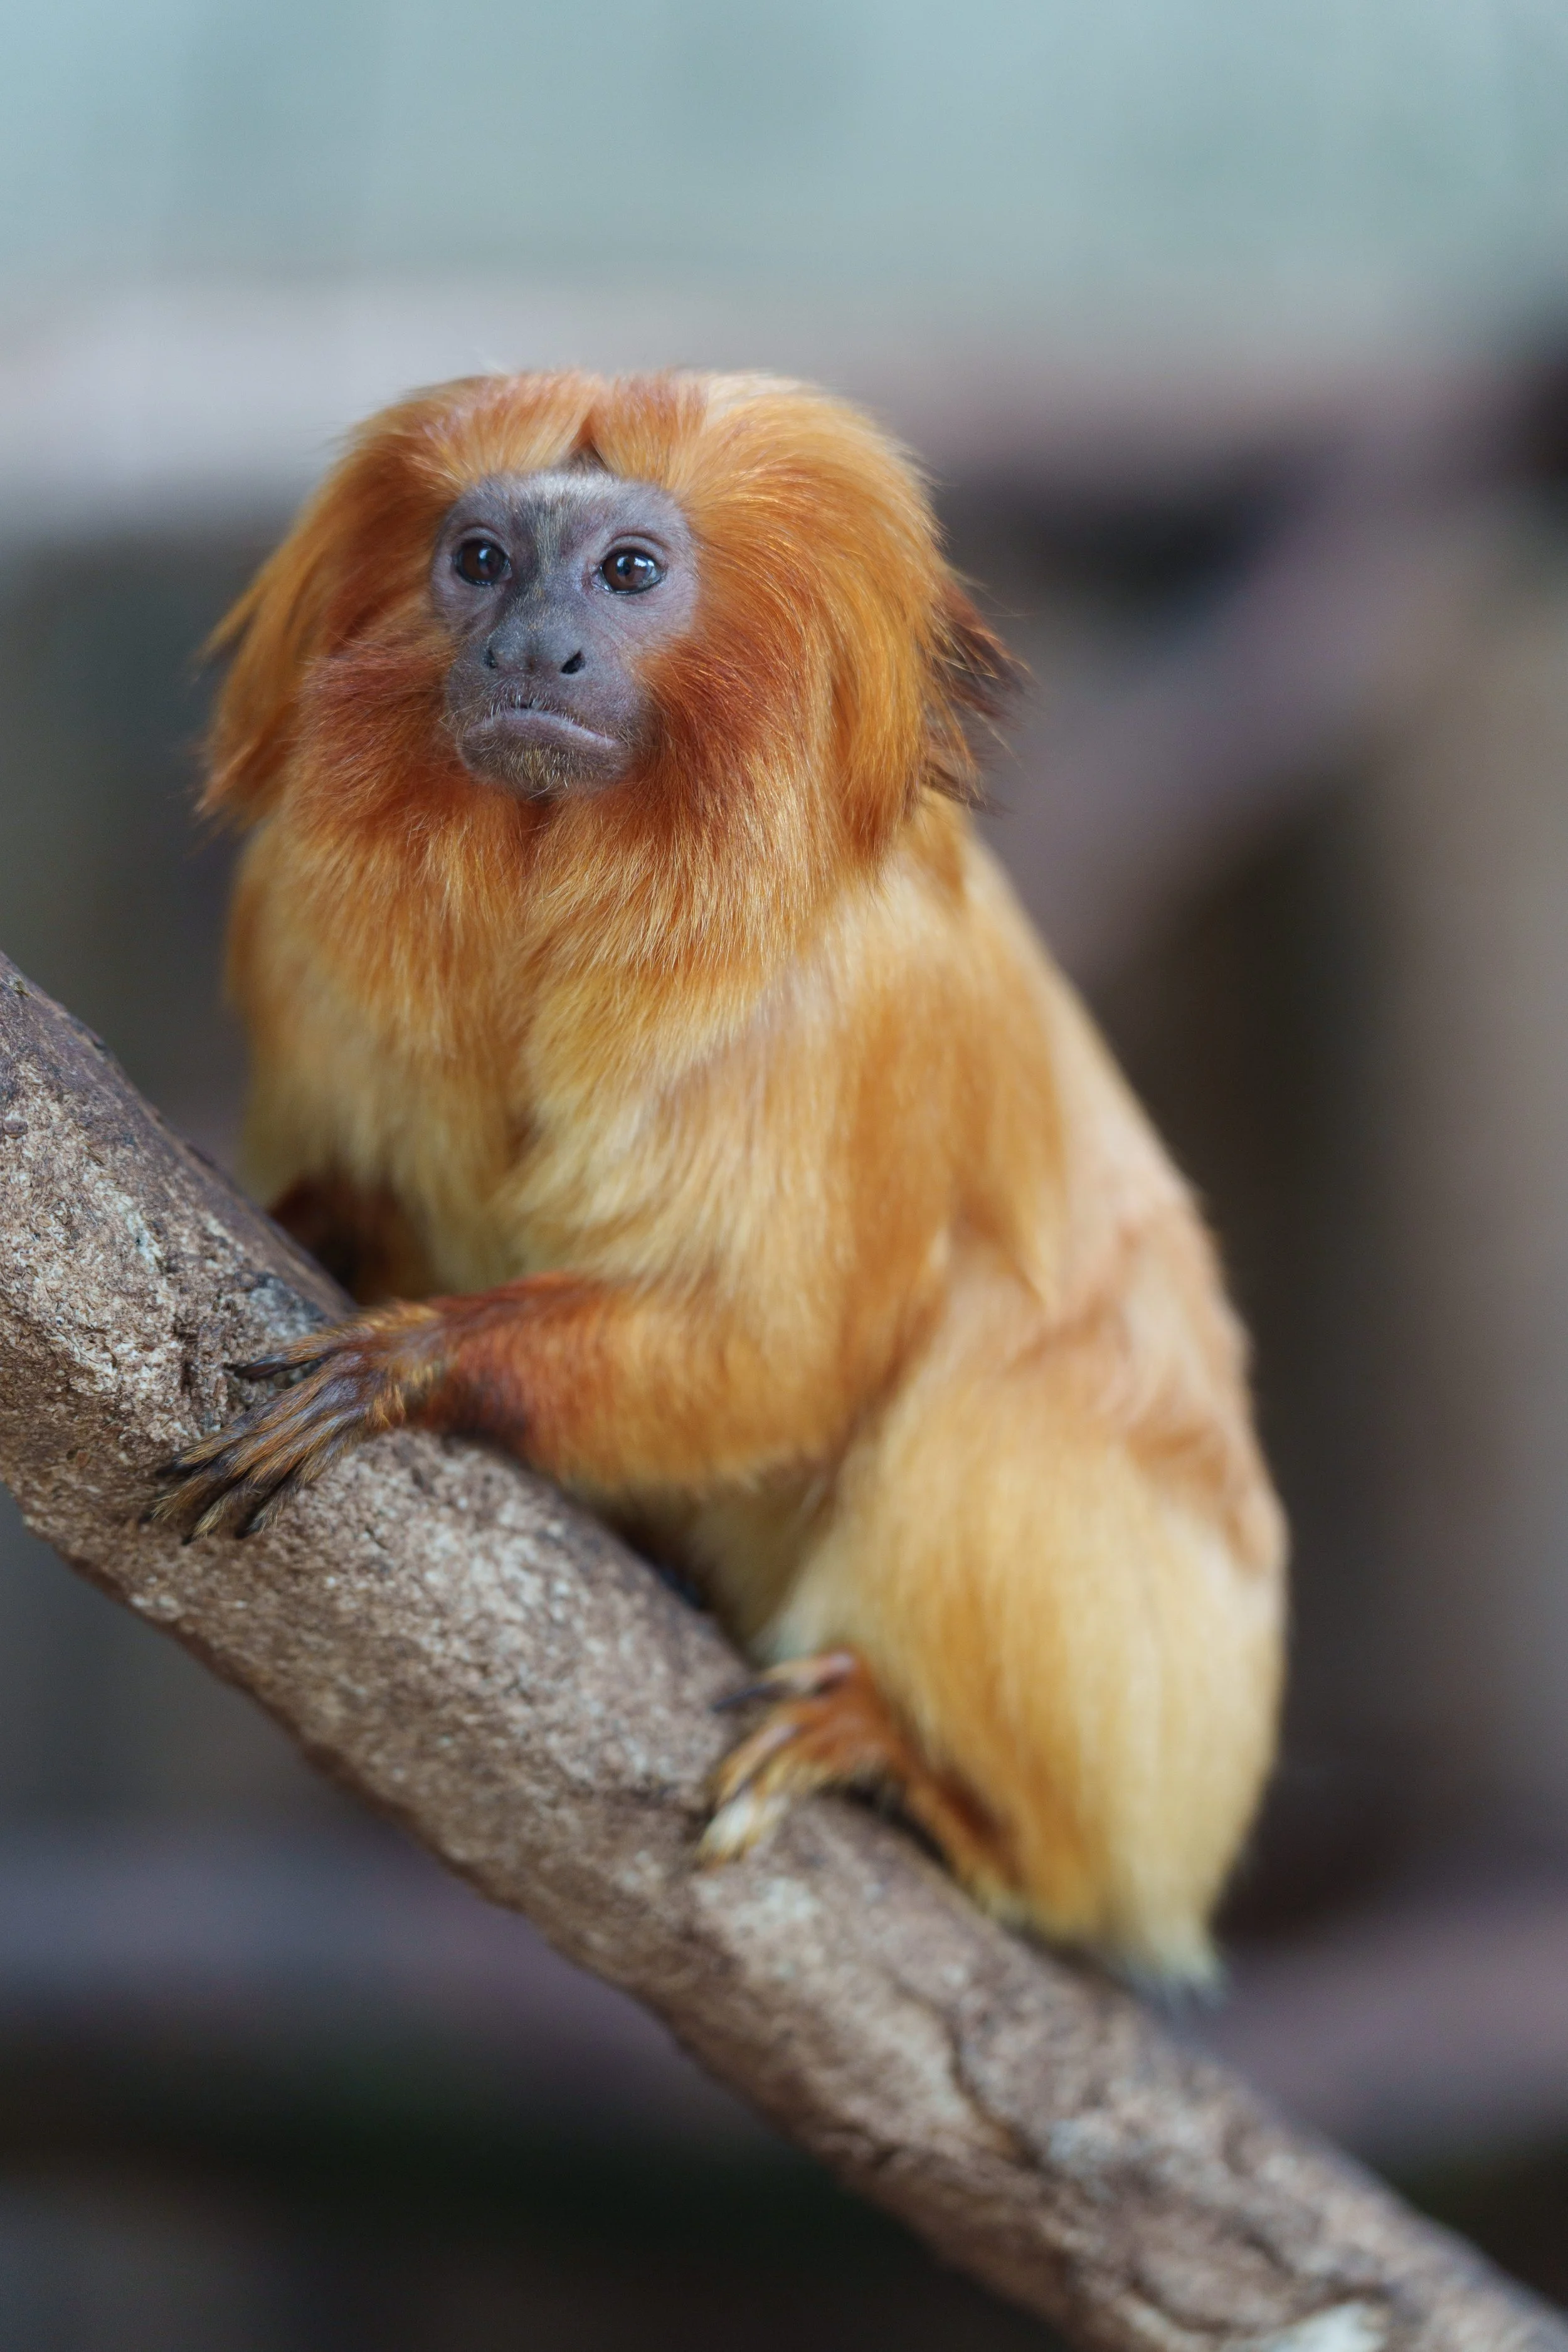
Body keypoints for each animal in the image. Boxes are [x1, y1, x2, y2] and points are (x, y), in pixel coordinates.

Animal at [154, 369, 1286, 1984]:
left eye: (628, 571)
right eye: (480, 561)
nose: (531, 646)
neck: (554, 862)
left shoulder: (854, 1003)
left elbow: (787, 1352)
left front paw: (406, 1364)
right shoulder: (295, 923)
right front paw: (324, 1224)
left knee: (1010, 1382)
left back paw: (925, 1779)